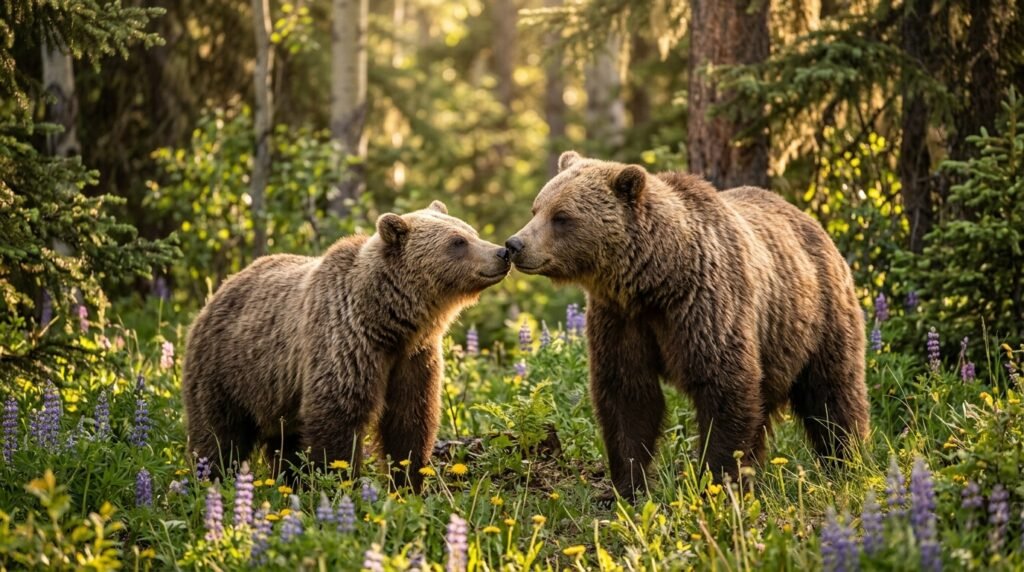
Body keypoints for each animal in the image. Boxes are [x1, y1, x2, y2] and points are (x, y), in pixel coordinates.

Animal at [182, 201, 510, 490]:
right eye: (458, 242)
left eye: (471, 231)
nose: (502, 252)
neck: (390, 323)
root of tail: (220, 289)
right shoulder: (345, 343)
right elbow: (338, 417)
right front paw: (340, 482)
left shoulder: (414, 358)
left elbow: (410, 421)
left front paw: (408, 484)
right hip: (226, 371)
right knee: (218, 435)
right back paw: (212, 479)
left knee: (283, 444)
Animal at [505, 151, 869, 501]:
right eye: (536, 208)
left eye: (562, 217)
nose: (514, 245)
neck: (655, 281)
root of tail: (811, 221)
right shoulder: (620, 319)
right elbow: (627, 395)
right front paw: (625, 488)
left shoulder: (705, 306)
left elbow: (724, 387)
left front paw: (718, 483)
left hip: (818, 316)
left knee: (832, 392)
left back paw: (847, 460)